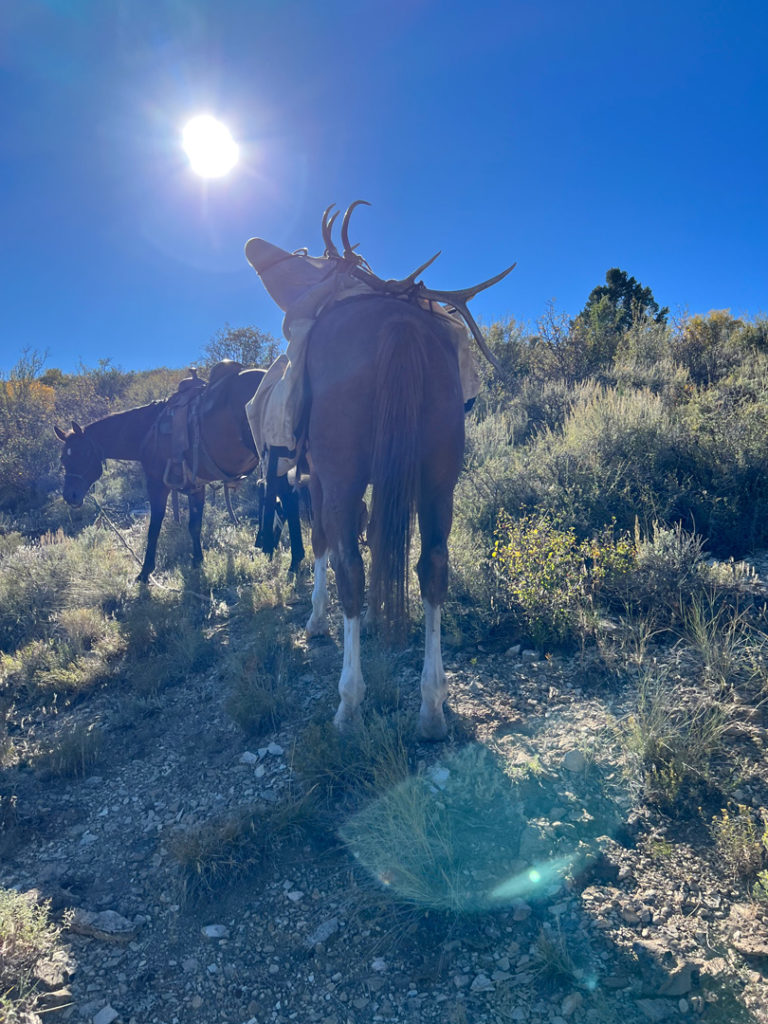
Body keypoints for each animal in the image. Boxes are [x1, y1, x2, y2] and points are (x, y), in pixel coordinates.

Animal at [55, 364, 307, 581]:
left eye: (82, 454)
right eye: (63, 458)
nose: (70, 496)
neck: (147, 429)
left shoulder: (157, 485)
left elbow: (154, 528)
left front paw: (145, 572)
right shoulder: (196, 486)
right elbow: (194, 526)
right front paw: (197, 561)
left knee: (289, 500)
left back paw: (295, 561)